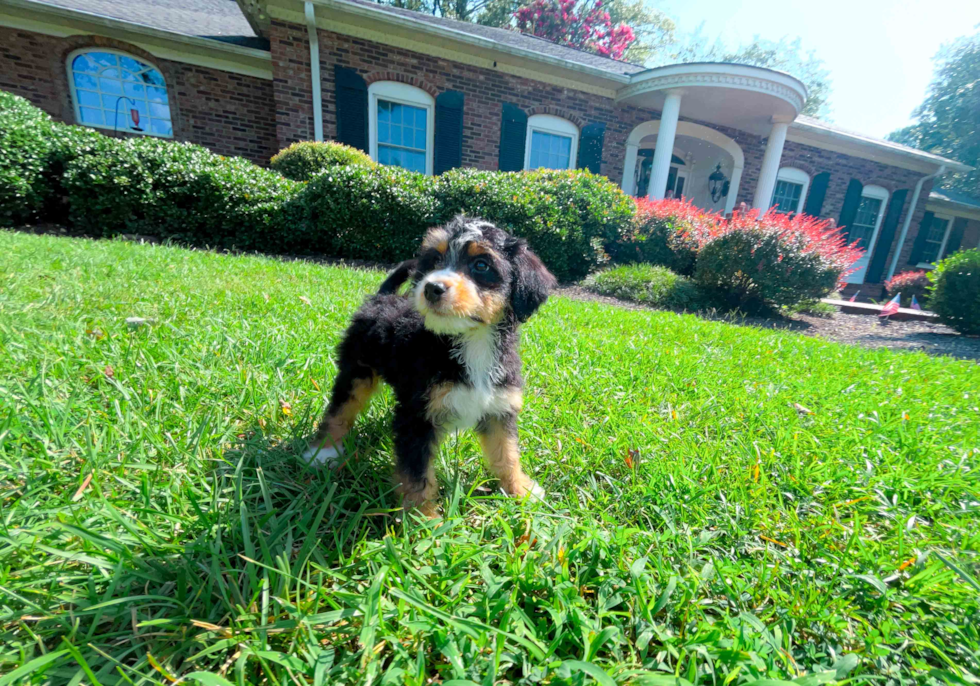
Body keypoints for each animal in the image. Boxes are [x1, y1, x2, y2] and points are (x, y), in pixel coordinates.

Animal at [302, 215, 556, 516]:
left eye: (481, 265)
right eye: (435, 260)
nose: (432, 288)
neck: (472, 342)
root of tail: (382, 297)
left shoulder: (499, 407)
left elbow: (506, 453)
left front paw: (521, 490)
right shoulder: (417, 417)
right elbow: (417, 475)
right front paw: (424, 520)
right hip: (356, 370)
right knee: (341, 408)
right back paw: (324, 452)